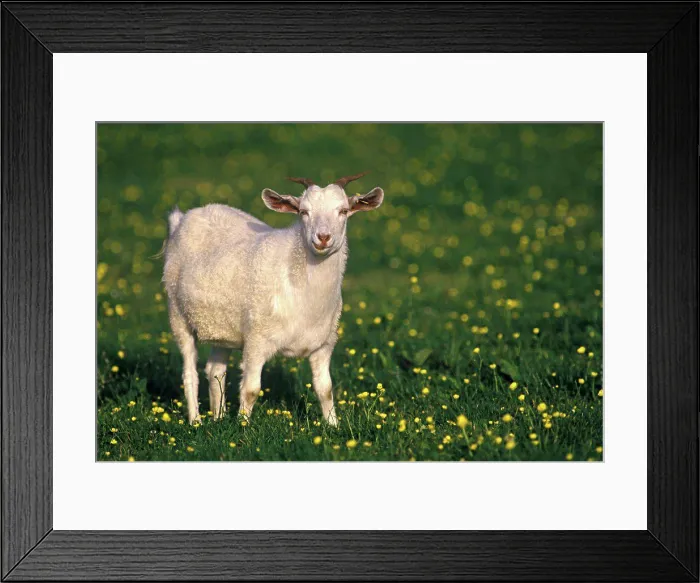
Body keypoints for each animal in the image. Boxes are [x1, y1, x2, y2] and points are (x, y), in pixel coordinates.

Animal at [163, 173, 384, 426]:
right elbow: (251, 389)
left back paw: (218, 418)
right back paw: (196, 421)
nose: (323, 238)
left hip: (222, 328)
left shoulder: (324, 344)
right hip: (178, 315)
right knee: (190, 372)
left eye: (344, 211)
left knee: (215, 370)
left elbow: (325, 389)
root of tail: (184, 217)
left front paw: (333, 427)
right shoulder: (256, 340)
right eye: (303, 212)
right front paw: (242, 427)